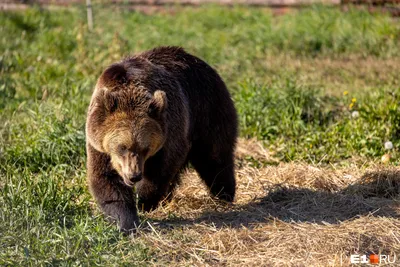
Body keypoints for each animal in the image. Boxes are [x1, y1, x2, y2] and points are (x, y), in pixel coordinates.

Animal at [86, 47, 236, 233]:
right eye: (122, 147)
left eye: (145, 148)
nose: (134, 175)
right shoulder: (98, 144)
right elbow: (105, 178)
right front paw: (126, 221)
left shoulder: (170, 129)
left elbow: (162, 168)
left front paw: (144, 201)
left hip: (207, 109)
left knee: (214, 156)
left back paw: (224, 193)